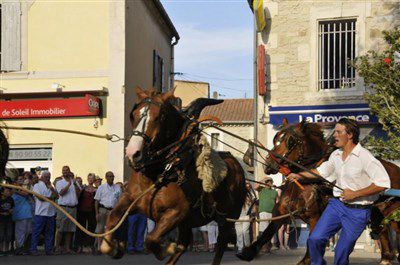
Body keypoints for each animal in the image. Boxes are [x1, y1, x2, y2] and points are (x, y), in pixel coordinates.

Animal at [100, 87, 247, 262]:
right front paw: (115, 247)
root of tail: (236, 165)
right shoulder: (129, 200)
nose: (132, 153)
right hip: (189, 223)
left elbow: (151, 238)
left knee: (221, 242)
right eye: (133, 114)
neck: (158, 173)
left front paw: (166, 248)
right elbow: (112, 219)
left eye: (159, 117)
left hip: (227, 217)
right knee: (184, 243)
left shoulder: (177, 212)